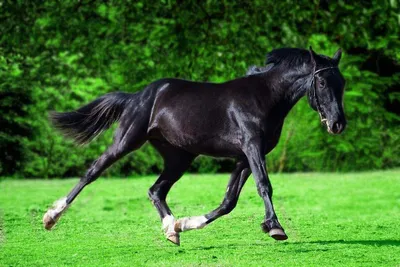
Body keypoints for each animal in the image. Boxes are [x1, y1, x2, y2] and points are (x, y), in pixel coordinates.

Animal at [43, 47, 344, 246]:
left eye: (342, 82)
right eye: (321, 81)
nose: (338, 124)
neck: (265, 97)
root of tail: (137, 96)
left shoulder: (244, 157)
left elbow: (228, 201)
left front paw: (185, 223)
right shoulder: (252, 148)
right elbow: (264, 186)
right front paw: (276, 228)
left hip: (179, 157)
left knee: (156, 190)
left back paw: (171, 230)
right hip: (127, 141)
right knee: (92, 171)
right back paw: (50, 217)